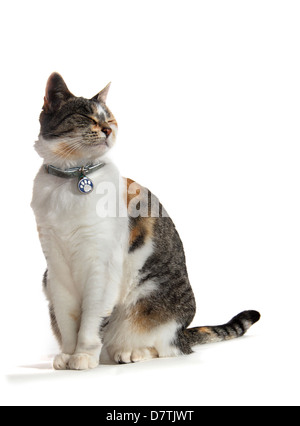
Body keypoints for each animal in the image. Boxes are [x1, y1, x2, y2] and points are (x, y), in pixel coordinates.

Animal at [31, 72, 260, 370]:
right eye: (86, 116)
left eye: (109, 119)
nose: (107, 130)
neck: (71, 177)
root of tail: (182, 333)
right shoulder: (56, 268)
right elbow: (67, 319)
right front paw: (68, 355)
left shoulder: (101, 268)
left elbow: (91, 321)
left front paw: (83, 356)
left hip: (153, 300)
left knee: (165, 347)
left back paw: (131, 352)